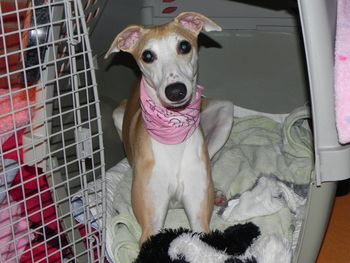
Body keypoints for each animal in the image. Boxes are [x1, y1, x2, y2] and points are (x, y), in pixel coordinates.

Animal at [105, 10, 223, 245]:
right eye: (147, 56)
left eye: (184, 46)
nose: (176, 91)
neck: (172, 137)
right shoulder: (151, 222)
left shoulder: (199, 217)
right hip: (117, 114)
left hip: (225, 114)